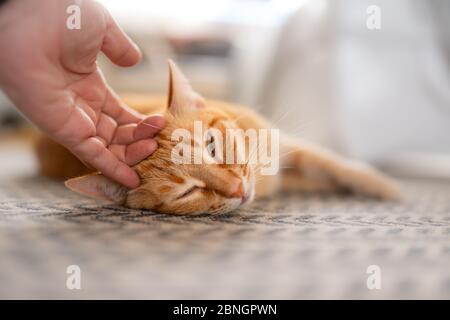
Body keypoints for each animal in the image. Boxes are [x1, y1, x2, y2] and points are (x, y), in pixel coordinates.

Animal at [36, 60, 400, 215]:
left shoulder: (284, 145)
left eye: (211, 146)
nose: (238, 190)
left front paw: (381, 185)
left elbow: (333, 163)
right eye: (187, 192)